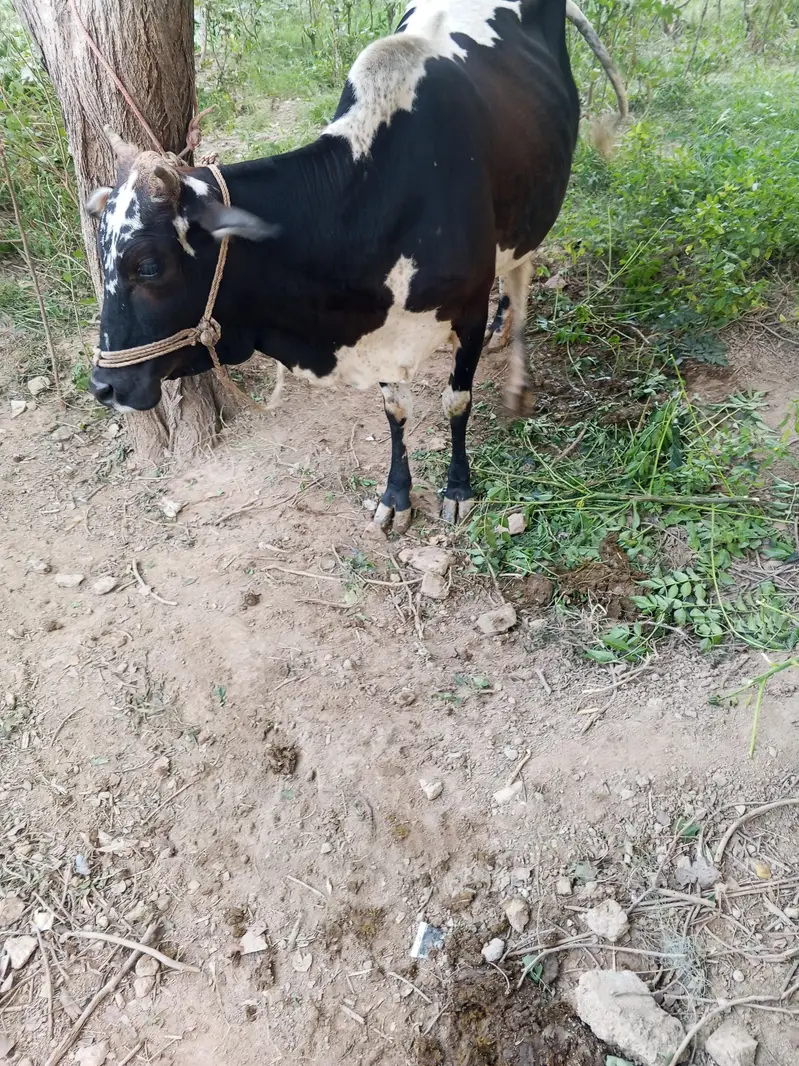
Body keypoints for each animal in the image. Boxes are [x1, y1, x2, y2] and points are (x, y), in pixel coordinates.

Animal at [88, 0, 626, 533]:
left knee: (520, 275)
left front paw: (458, 489)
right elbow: (396, 411)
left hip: (538, 207)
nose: (103, 386)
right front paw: (396, 497)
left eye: (149, 266)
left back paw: (517, 373)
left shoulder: (467, 312)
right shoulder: (380, 332)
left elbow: (456, 401)